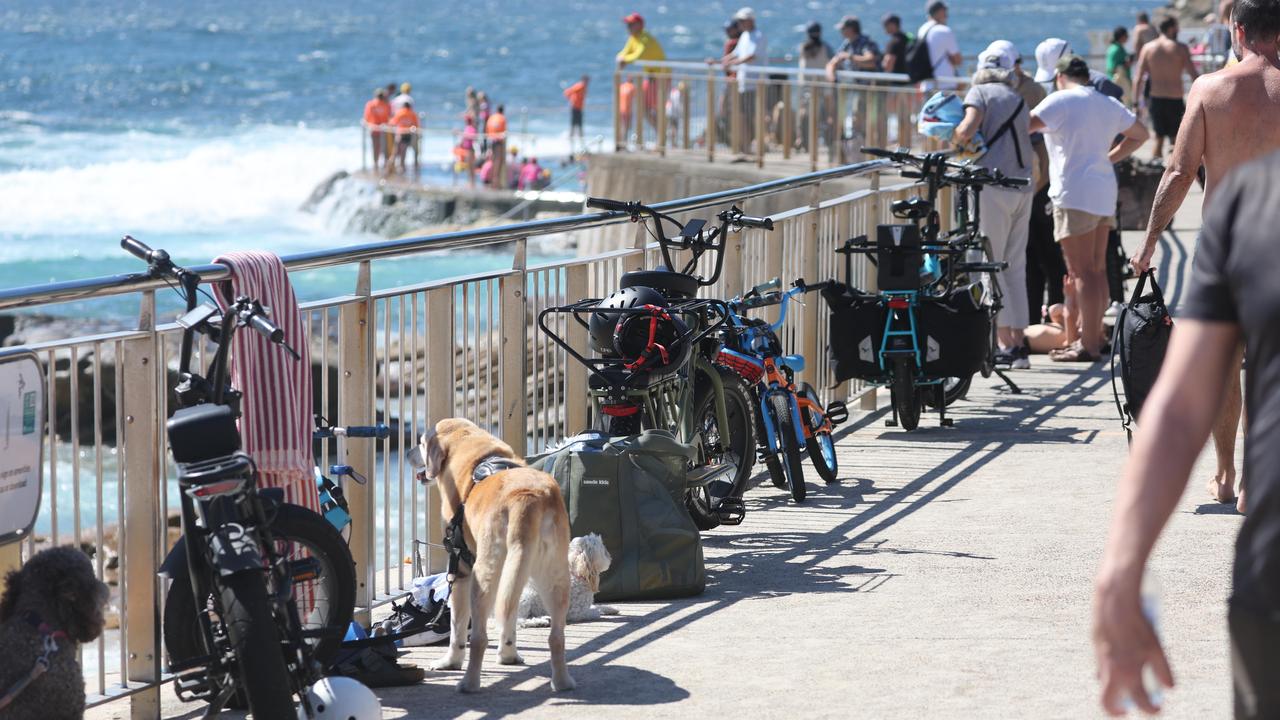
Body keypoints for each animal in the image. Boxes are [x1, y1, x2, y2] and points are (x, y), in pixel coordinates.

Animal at [409, 417, 576, 691]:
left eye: (421, 443)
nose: (408, 453)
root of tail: (526, 499)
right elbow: (509, 616)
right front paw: (509, 655)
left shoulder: (461, 569)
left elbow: (456, 627)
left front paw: (450, 662)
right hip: (554, 576)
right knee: (554, 636)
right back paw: (562, 682)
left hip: (484, 575)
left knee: (478, 637)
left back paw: (468, 683)